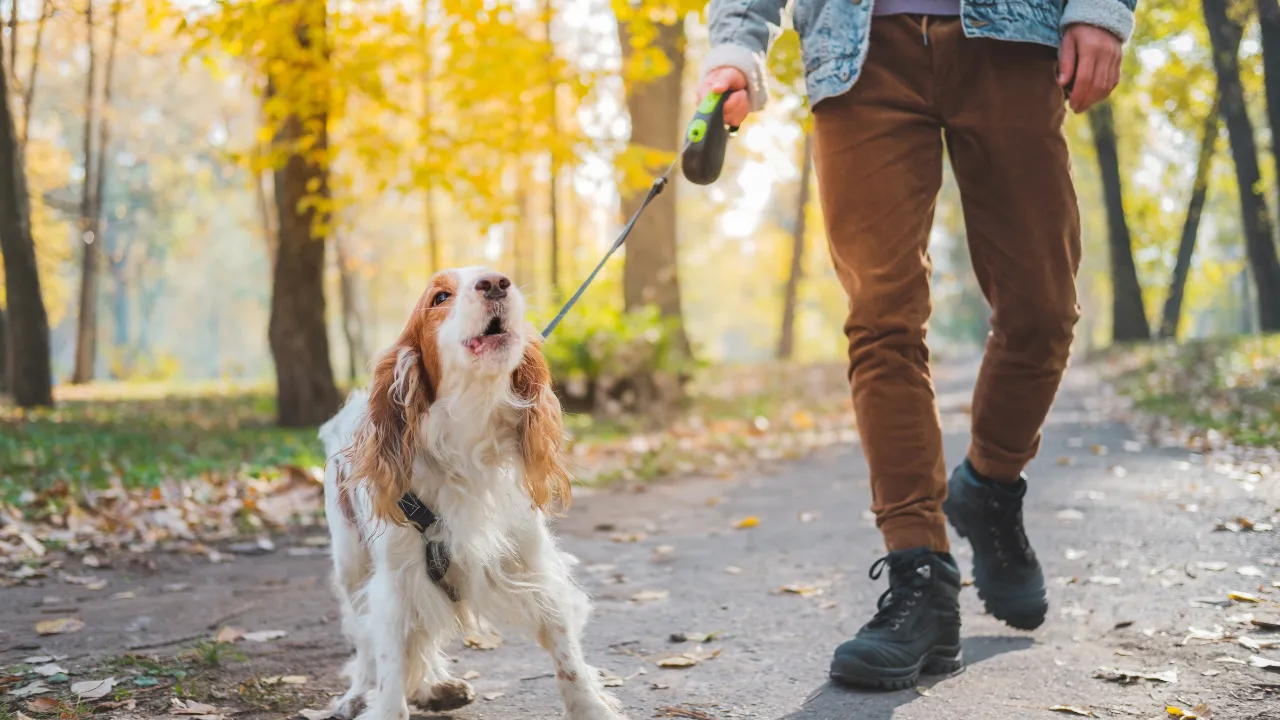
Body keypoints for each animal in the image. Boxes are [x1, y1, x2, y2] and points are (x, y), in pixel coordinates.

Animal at [317, 266, 622, 712]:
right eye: (440, 297)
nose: (496, 283)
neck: (467, 438)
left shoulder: (532, 563)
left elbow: (567, 654)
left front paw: (590, 707)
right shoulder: (395, 582)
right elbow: (389, 664)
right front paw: (383, 705)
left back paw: (434, 686)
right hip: (351, 565)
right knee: (365, 643)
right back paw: (359, 695)